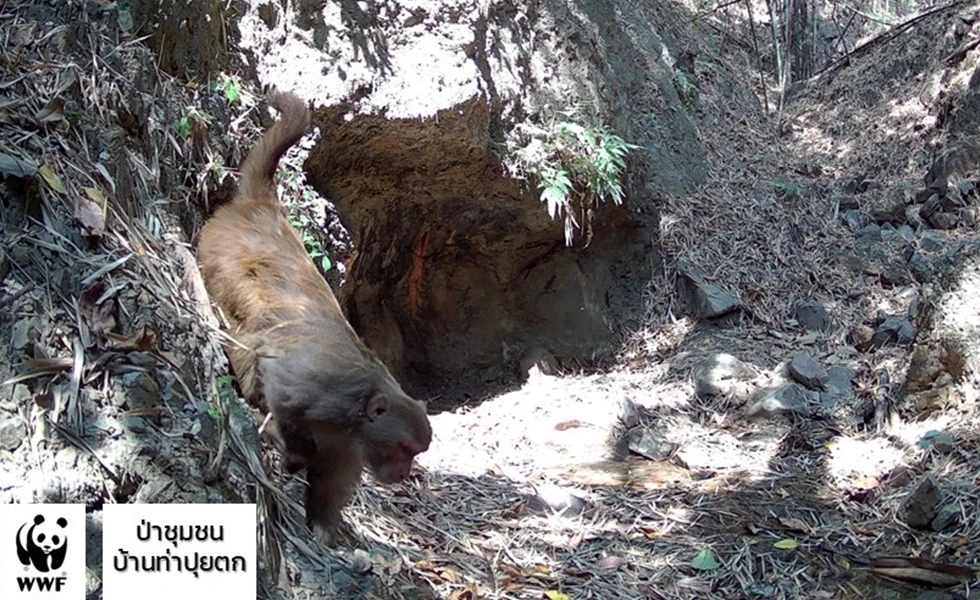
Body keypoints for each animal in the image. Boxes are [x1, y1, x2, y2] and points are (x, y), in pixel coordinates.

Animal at [196, 90, 432, 544]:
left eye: (416, 452)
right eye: (404, 449)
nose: (404, 472)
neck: (357, 414)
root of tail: (264, 210)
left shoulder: (351, 445)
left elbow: (332, 480)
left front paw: (325, 528)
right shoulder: (324, 393)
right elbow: (282, 390)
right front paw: (293, 454)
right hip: (221, 254)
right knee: (249, 333)